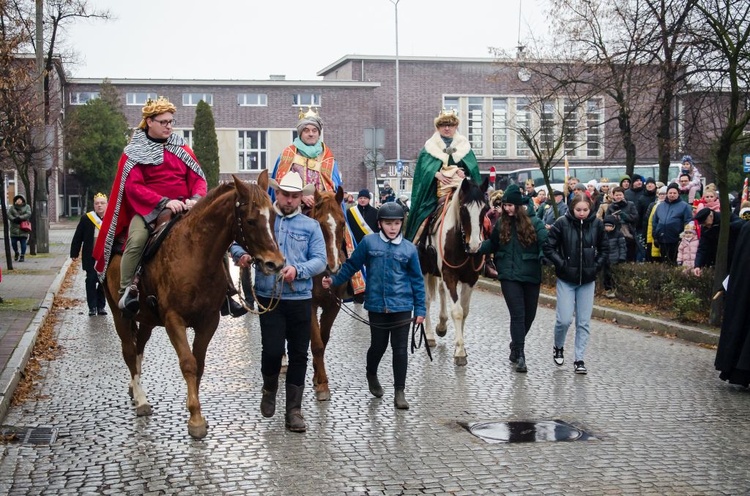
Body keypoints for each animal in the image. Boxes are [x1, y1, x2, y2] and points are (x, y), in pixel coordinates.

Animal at [103, 170, 284, 438]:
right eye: (251, 220)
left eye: (272, 217)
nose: (276, 264)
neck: (195, 253)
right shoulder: (173, 320)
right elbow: (188, 363)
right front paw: (196, 420)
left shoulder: (209, 320)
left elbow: (199, 364)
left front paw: (196, 411)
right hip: (120, 315)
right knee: (128, 351)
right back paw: (141, 398)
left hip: (147, 319)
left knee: (139, 348)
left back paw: (134, 391)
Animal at [420, 177, 490, 364]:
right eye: (464, 209)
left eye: (485, 209)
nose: (475, 246)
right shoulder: (450, 275)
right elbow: (457, 311)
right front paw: (459, 351)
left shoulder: (470, 278)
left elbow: (464, 311)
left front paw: (461, 347)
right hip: (424, 270)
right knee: (426, 301)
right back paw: (430, 335)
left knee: (441, 292)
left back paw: (442, 325)